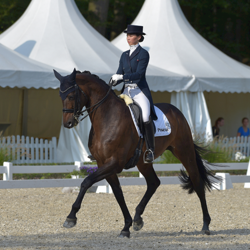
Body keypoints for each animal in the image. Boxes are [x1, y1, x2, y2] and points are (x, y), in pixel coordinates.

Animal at [54, 69, 219, 238]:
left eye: (71, 96)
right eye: (61, 96)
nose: (67, 123)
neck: (107, 117)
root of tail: (177, 112)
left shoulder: (115, 163)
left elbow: (86, 182)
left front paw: (71, 217)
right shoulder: (104, 164)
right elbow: (118, 193)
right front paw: (126, 226)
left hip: (184, 151)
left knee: (197, 182)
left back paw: (206, 225)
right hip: (143, 162)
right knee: (153, 182)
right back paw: (138, 219)